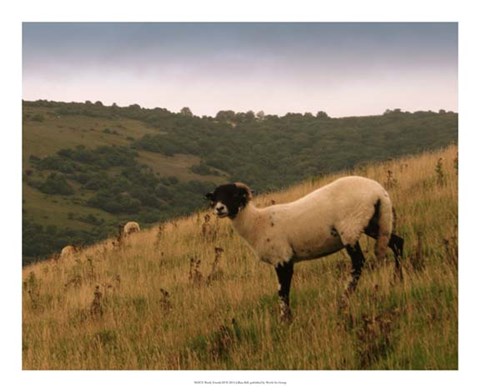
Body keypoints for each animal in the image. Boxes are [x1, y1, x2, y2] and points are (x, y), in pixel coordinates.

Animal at [204, 177, 404, 322]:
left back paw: (343, 301)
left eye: (233, 195)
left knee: (358, 263)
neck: (257, 223)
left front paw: (285, 320)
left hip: (351, 227)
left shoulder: (282, 258)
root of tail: (379, 191)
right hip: (373, 222)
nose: (219, 209)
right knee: (397, 242)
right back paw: (397, 279)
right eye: (216, 197)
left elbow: (282, 292)